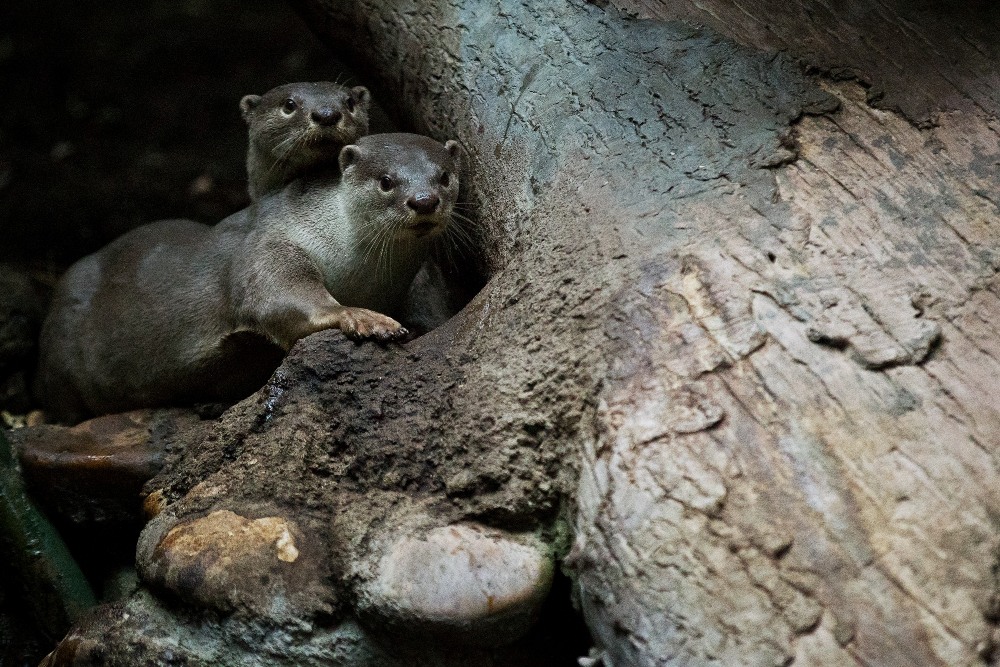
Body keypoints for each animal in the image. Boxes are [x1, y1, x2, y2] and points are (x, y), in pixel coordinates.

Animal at [35, 134, 460, 422]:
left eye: (443, 177)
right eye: (386, 181)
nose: (424, 201)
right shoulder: (270, 245)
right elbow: (277, 298)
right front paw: (363, 317)